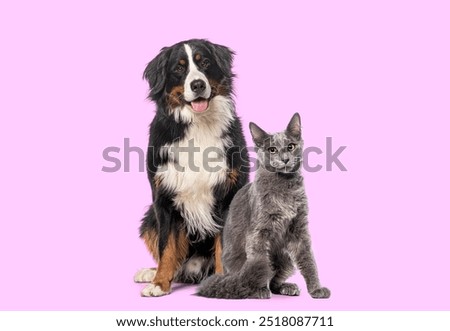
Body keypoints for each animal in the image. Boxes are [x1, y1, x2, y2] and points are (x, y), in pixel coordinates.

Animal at [134, 39, 250, 298]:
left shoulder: (227, 196)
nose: (198, 84)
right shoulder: (163, 199)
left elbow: (223, 247)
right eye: (179, 68)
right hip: (149, 219)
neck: (199, 126)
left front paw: (222, 281)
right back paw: (150, 272)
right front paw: (159, 283)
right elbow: (167, 247)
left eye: (204, 62)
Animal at [197, 114, 330, 300]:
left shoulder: (299, 229)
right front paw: (259, 289)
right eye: (272, 149)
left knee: (275, 281)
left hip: (285, 258)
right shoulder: (259, 232)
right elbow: (259, 260)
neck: (284, 186)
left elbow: (308, 260)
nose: (285, 159)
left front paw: (316, 289)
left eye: (291, 146)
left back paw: (287, 287)